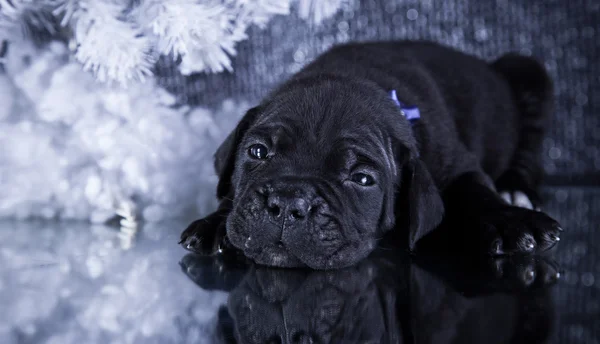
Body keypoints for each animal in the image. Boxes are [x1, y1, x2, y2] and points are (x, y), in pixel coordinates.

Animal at [178, 40, 564, 270]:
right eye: (257, 151)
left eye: (362, 179)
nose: (288, 202)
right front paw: (214, 224)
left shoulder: (456, 164)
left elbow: (476, 190)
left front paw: (510, 220)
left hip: (528, 76)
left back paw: (516, 191)